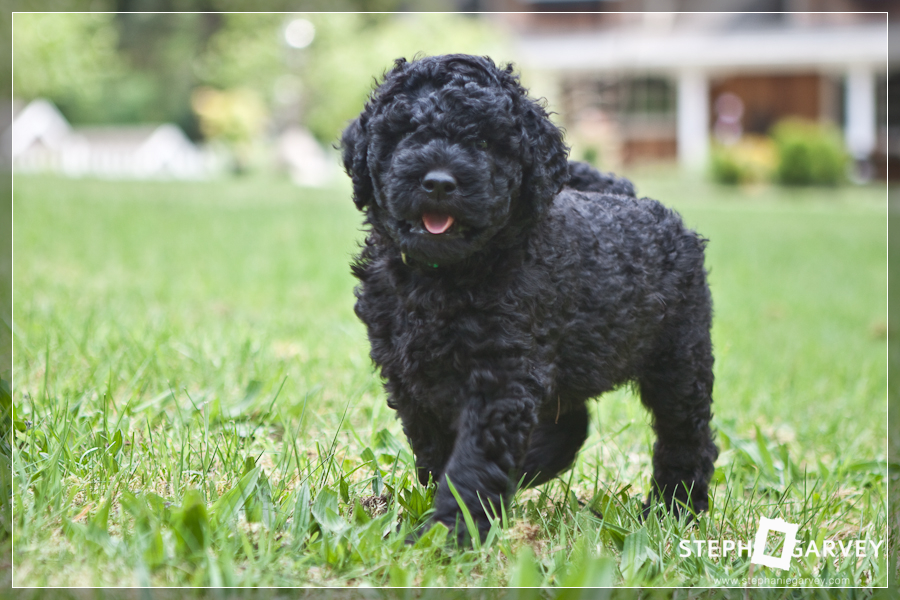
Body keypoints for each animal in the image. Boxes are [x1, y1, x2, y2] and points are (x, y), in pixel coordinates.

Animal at [341, 54, 717, 541]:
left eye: (485, 141)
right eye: (407, 132)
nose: (439, 182)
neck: (443, 276)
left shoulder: (499, 375)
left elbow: (470, 462)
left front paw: (452, 534)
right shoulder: (408, 374)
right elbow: (435, 446)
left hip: (680, 355)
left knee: (685, 434)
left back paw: (676, 508)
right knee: (572, 422)